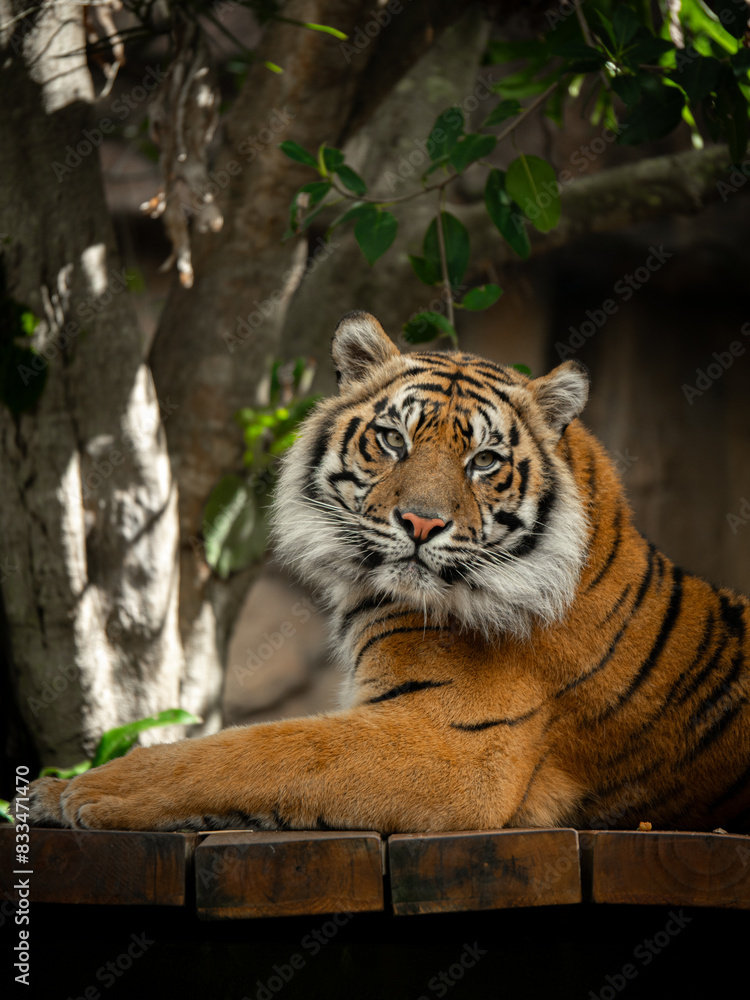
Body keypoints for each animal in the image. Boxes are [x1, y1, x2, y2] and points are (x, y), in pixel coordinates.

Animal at [25, 310, 750, 834]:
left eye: (484, 461)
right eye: (393, 439)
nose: (422, 524)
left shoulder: (454, 744)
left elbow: (256, 748)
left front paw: (78, 790)